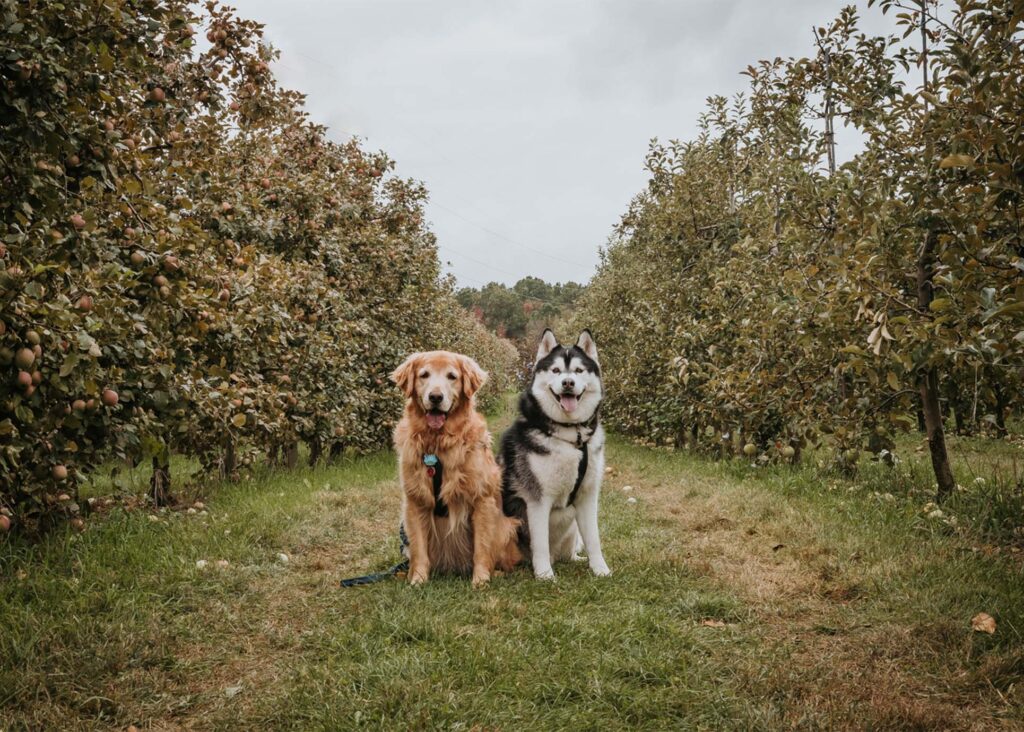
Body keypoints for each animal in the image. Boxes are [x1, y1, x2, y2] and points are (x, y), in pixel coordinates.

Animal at [501, 331, 610, 577]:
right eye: (556, 370)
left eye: (578, 370)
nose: (568, 383)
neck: (571, 436)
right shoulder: (538, 500)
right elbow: (540, 542)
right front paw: (544, 575)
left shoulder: (588, 496)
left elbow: (594, 538)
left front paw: (600, 569)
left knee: (571, 550)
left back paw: (576, 558)